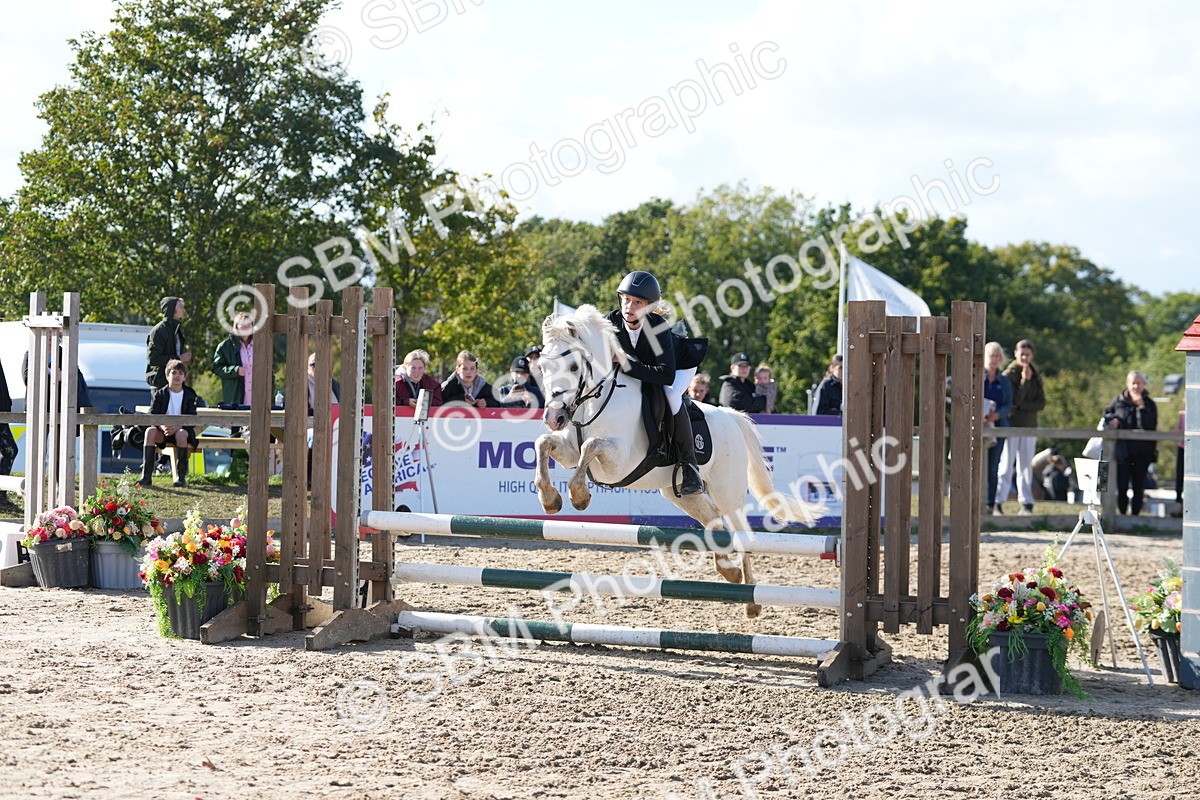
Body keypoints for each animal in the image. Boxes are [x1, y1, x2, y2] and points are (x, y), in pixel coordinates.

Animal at [533, 304, 826, 618]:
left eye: (574, 368)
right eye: (543, 368)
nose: (554, 417)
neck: (597, 399)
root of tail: (731, 416)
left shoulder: (618, 462)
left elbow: (591, 445)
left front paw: (579, 496)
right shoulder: (569, 451)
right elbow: (544, 444)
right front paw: (550, 499)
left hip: (727, 491)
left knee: (741, 532)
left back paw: (751, 601)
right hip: (681, 494)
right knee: (715, 521)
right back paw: (729, 571)